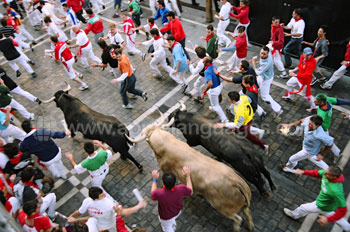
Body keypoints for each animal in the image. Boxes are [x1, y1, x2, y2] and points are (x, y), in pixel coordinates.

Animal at [126, 115, 254, 231]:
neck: (167, 143)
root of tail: (237, 182)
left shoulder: (166, 169)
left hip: (223, 207)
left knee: (238, 219)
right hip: (242, 206)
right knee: (247, 213)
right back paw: (250, 226)